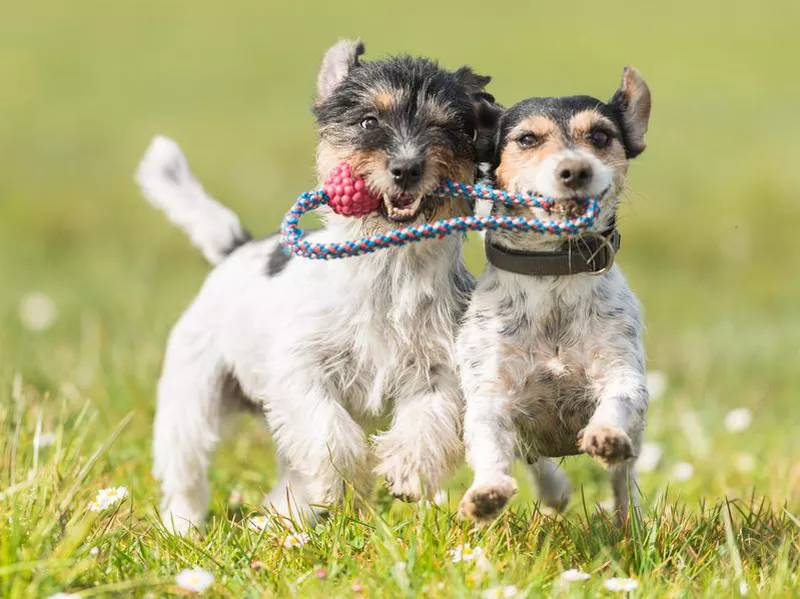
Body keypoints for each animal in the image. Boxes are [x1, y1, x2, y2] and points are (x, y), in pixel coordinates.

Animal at [138, 38, 500, 536]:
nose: (407, 168)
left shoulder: (439, 368)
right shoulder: (300, 369)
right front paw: (347, 482)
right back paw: (183, 526)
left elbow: (429, 421)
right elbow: (329, 431)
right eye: (369, 121)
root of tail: (236, 248)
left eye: (446, 128)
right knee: (186, 467)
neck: (388, 268)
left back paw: (277, 518)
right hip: (192, 394)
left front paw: (406, 469)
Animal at [456, 67, 648, 524]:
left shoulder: (622, 370)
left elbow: (620, 397)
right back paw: (553, 491)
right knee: (533, 461)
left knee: (624, 479)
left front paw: (605, 434)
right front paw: (487, 492)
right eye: (527, 139)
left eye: (600, 135)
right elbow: (489, 442)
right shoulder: (490, 393)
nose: (575, 169)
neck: (555, 272)